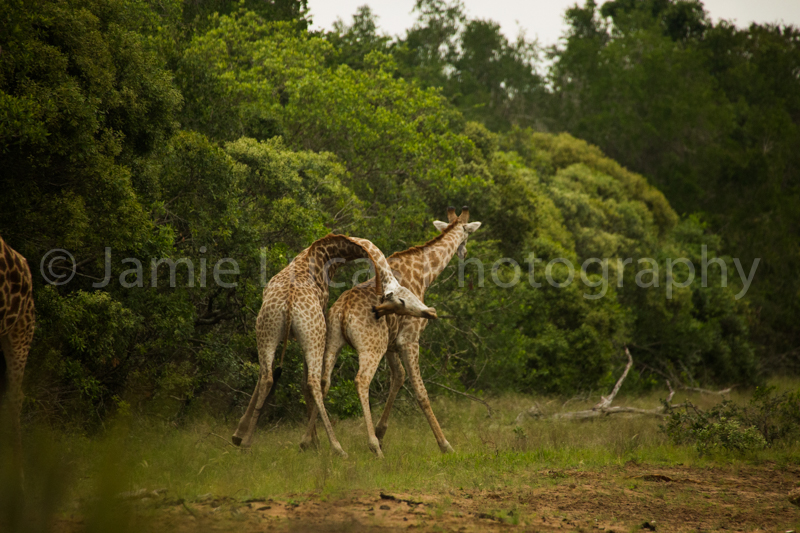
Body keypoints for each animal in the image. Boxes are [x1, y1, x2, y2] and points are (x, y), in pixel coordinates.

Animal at [232, 233, 437, 457]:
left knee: (267, 376)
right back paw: (338, 447)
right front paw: (314, 441)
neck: (324, 254)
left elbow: (265, 377)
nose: (431, 312)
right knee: (313, 381)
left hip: (266, 330)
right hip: (314, 334)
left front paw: (238, 434)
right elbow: (306, 382)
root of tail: (289, 303)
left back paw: (246, 443)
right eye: (401, 299)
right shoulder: (323, 311)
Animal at [301, 207, 481, 457]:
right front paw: (445, 445)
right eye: (467, 234)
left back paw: (311, 441)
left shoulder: (391, 344)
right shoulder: (409, 339)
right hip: (371, 346)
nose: (464, 253)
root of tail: (343, 312)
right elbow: (420, 392)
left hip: (334, 341)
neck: (425, 271)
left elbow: (399, 377)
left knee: (323, 381)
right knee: (361, 380)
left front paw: (381, 432)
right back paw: (373, 447)